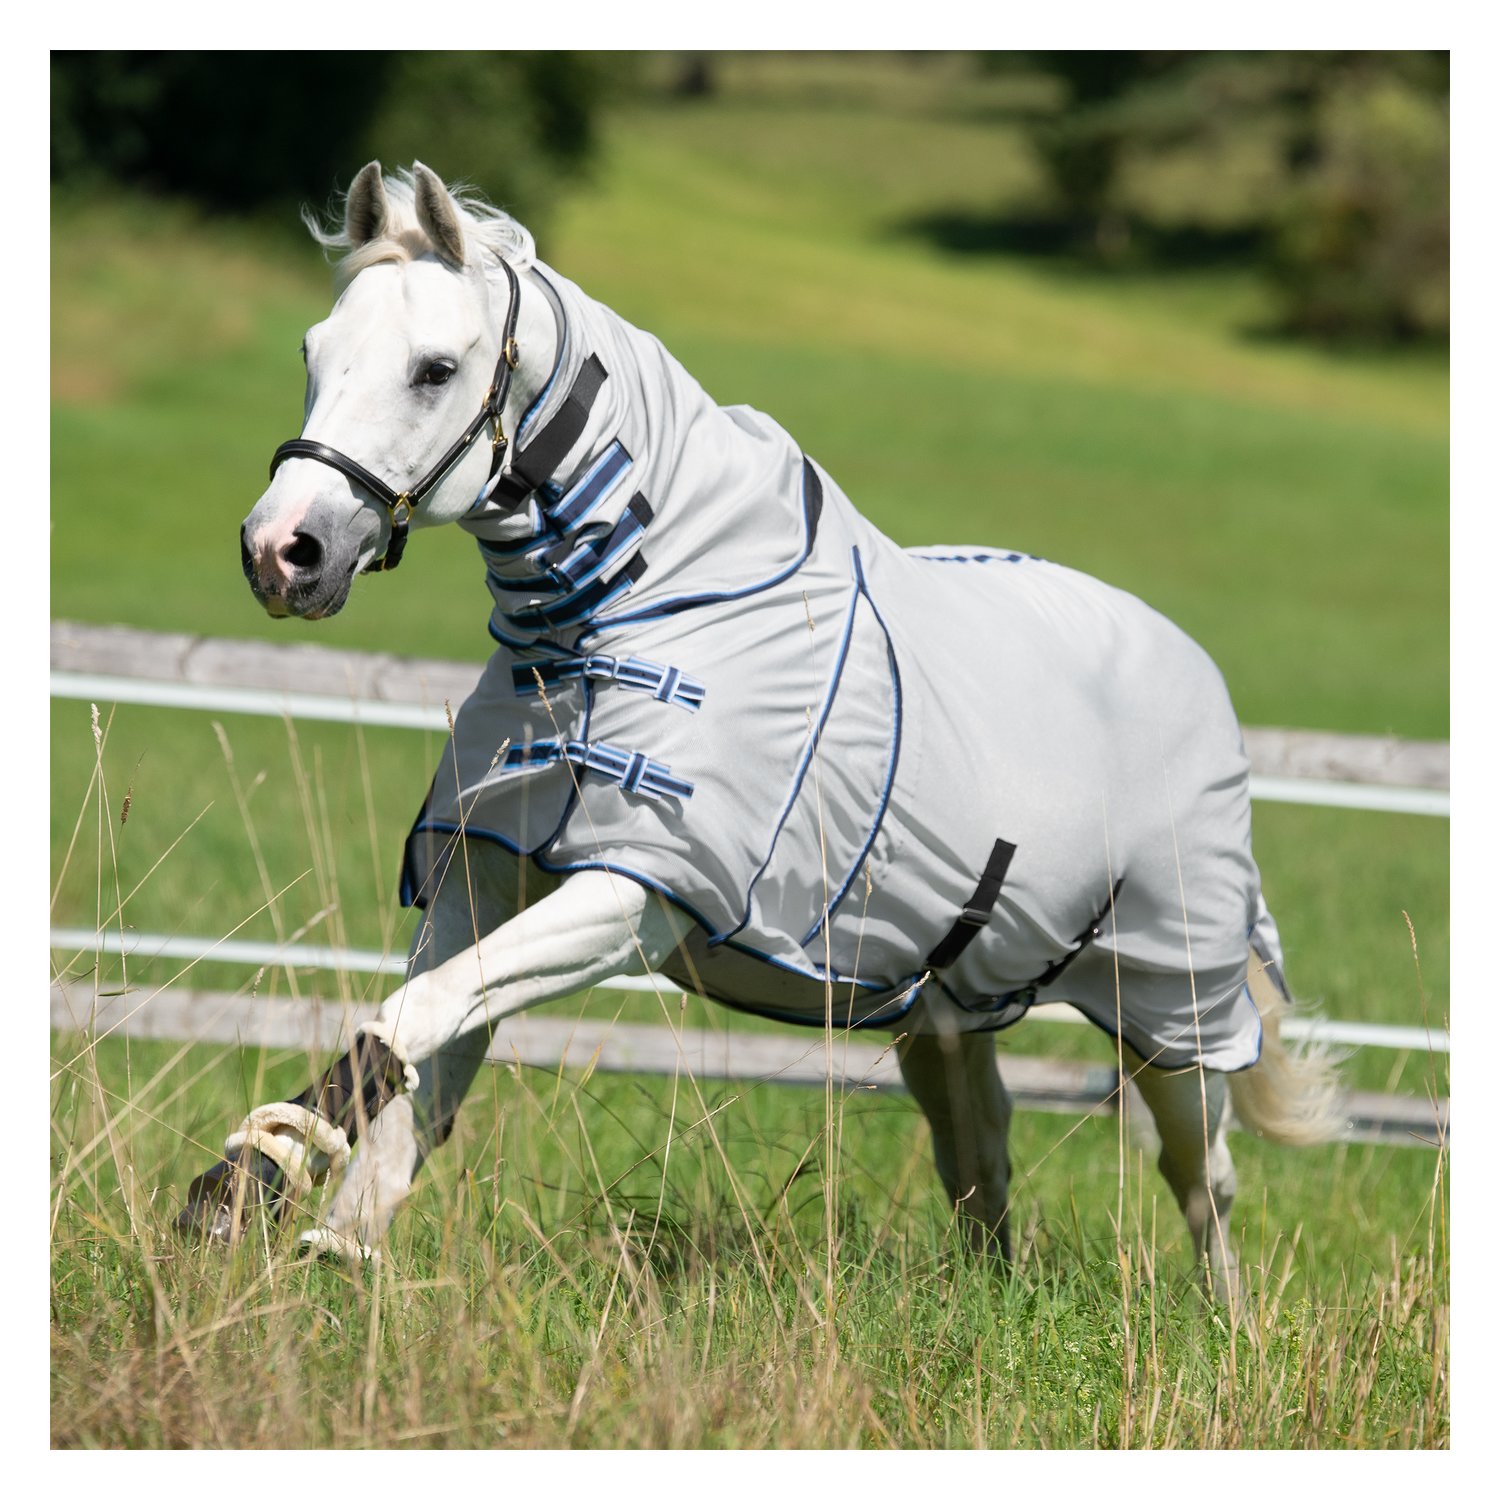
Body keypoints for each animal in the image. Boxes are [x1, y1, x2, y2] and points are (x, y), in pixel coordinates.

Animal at [182, 161, 1339, 1296]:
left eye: (433, 369)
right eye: (312, 352)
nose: (282, 552)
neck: (637, 611)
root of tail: (1190, 668)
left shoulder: (632, 895)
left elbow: (416, 1020)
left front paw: (245, 1179)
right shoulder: (483, 873)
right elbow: (423, 1054)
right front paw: (325, 1238)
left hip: (1171, 1010)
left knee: (1203, 1178)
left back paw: (1227, 1329)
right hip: (946, 1011)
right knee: (981, 1149)